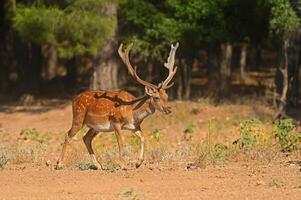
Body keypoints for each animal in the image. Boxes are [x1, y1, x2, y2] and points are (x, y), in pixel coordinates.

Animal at [56, 42, 178, 170]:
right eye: (156, 97)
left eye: (166, 96)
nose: (168, 109)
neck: (133, 112)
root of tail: (74, 99)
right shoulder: (116, 122)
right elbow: (121, 141)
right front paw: (123, 164)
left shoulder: (134, 126)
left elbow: (143, 138)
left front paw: (138, 163)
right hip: (78, 117)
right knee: (68, 134)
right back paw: (59, 164)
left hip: (95, 127)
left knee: (86, 138)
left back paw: (98, 165)